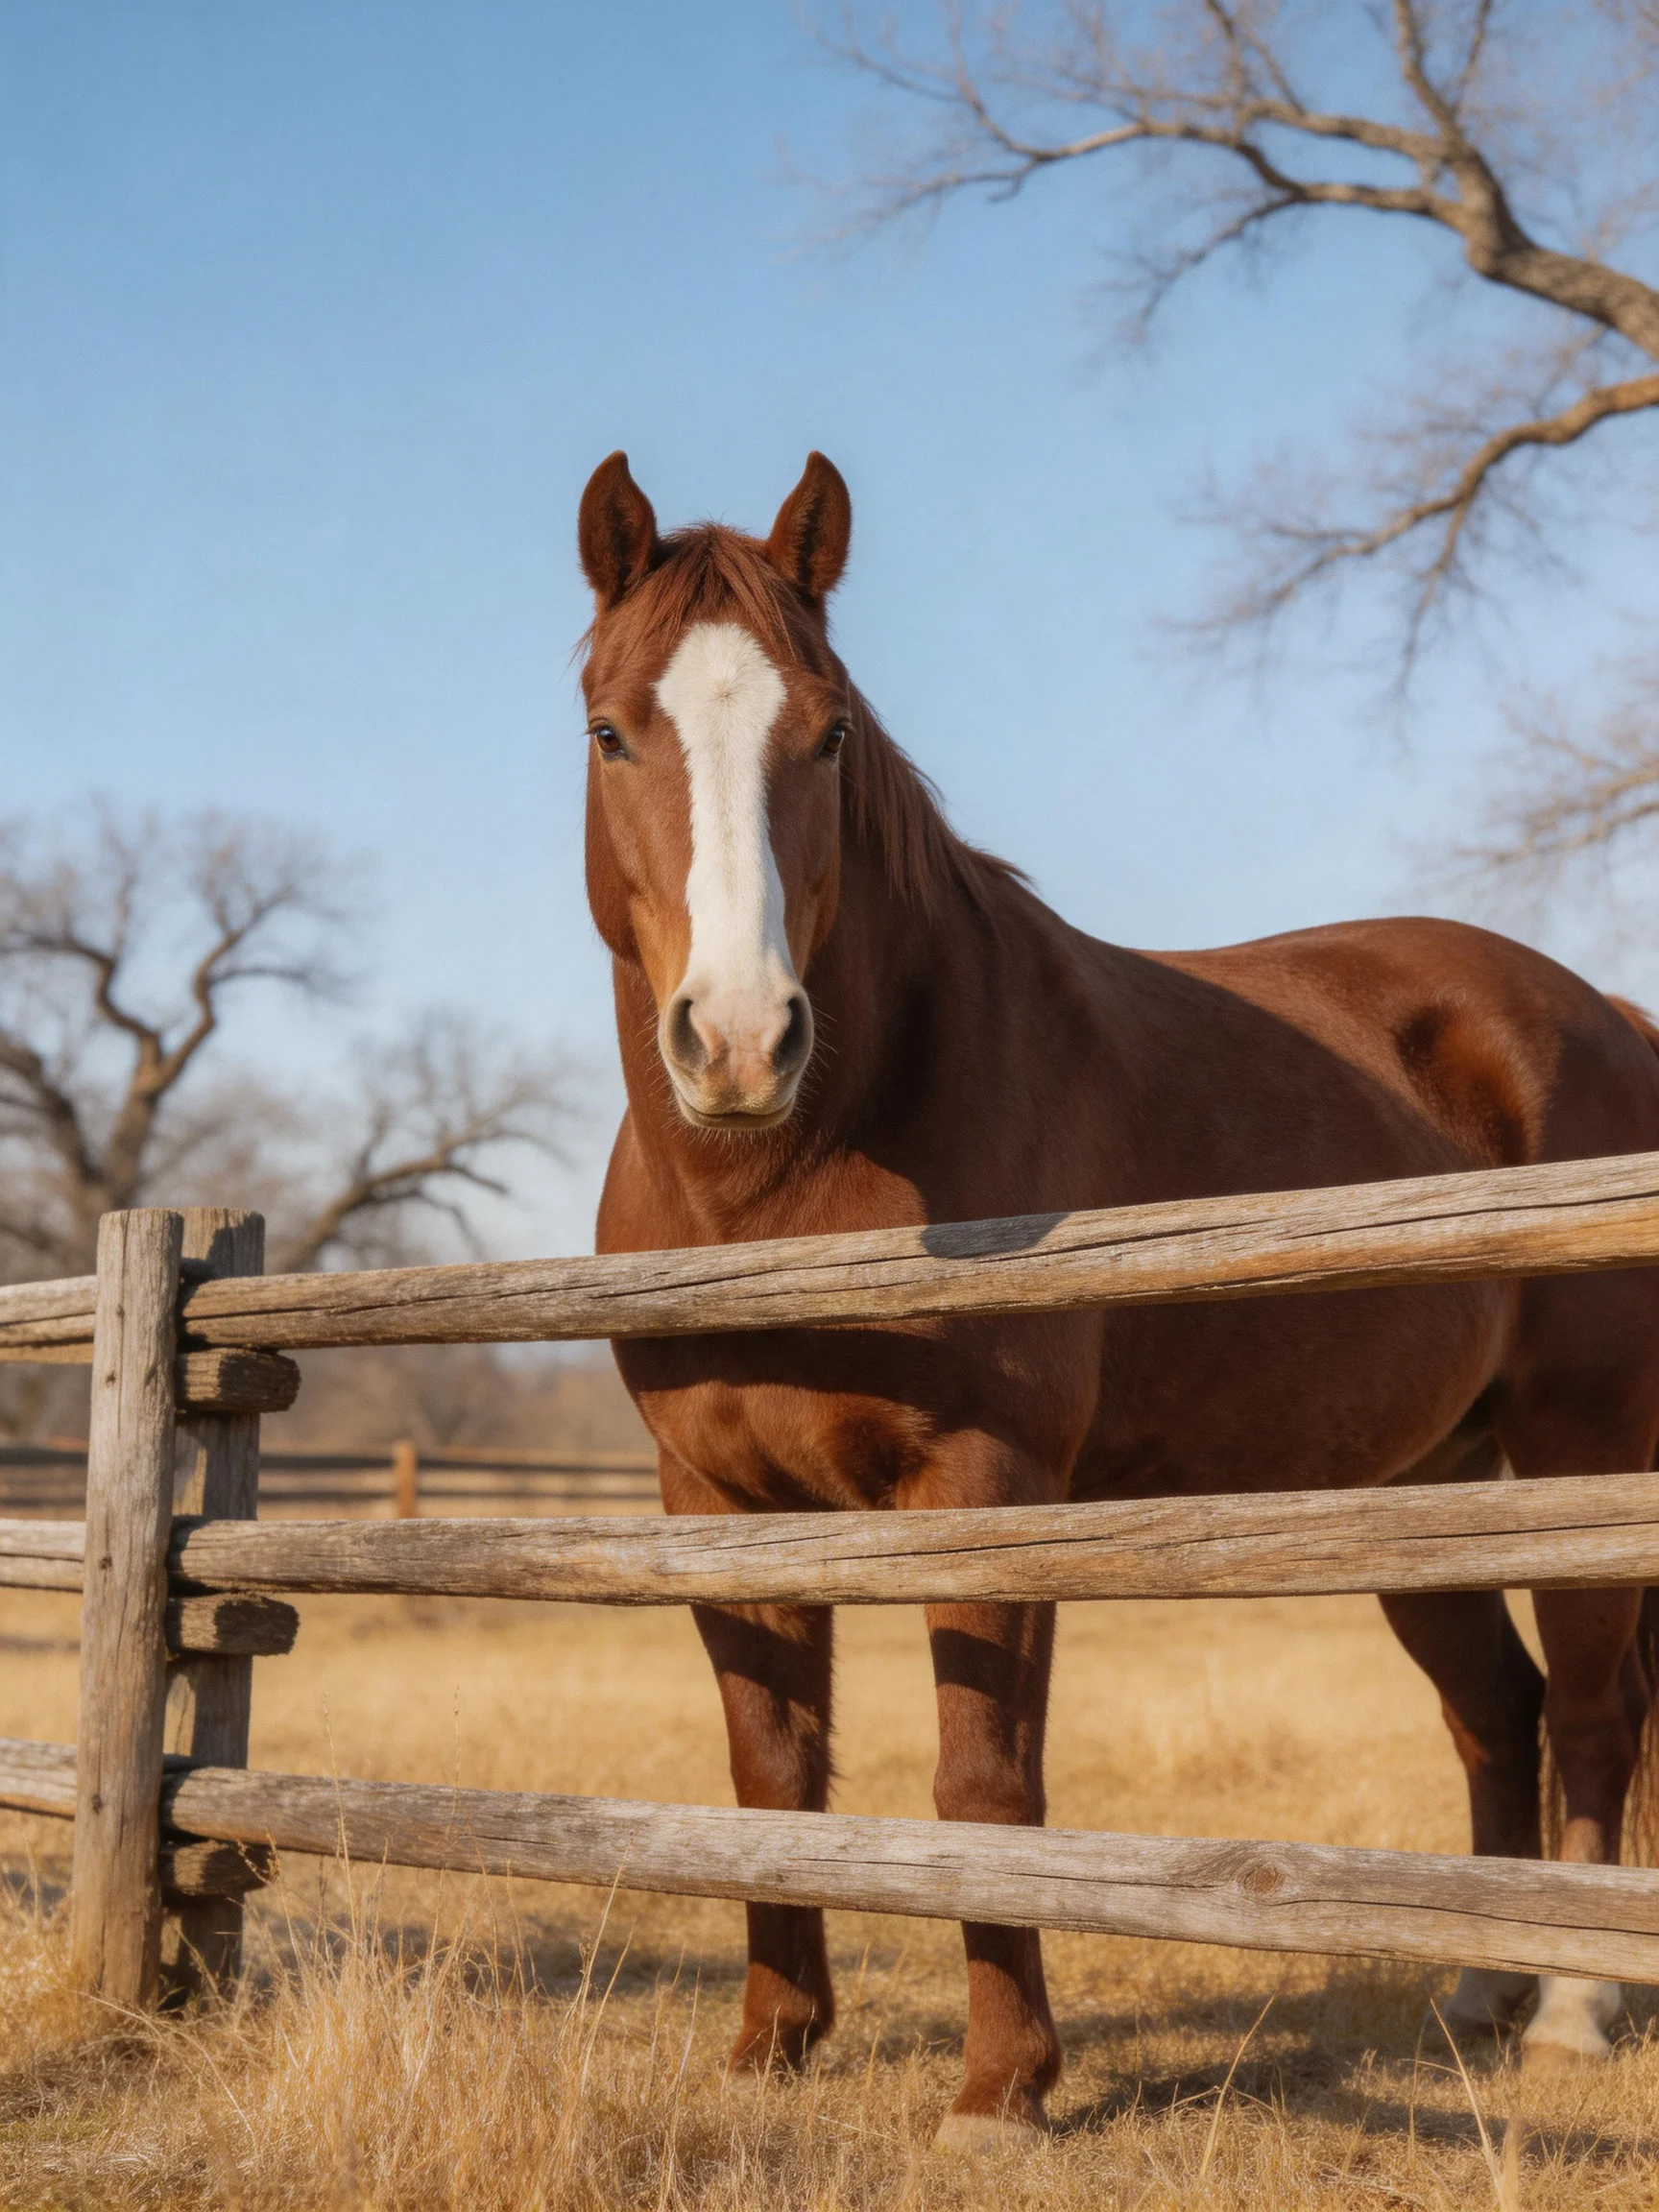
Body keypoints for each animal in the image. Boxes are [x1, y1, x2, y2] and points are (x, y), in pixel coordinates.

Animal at [577, 449, 1659, 2147]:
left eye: (828, 733)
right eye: (613, 730)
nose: (742, 1041)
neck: (796, 1178)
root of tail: (1603, 1011)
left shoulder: (986, 1489)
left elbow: (983, 1787)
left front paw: (1002, 2088)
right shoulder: (717, 1500)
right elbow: (771, 1774)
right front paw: (773, 2047)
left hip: (1580, 1454)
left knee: (1599, 1713)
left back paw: (1572, 2011)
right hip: (1422, 1484)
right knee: (1502, 1708)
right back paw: (1481, 1990)